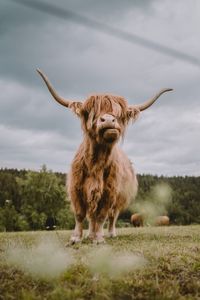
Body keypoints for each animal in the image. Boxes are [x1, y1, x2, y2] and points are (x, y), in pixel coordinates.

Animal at [37, 68, 172, 244]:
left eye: (119, 114)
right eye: (90, 112)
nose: (108, 119)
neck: (96, 162)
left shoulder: (109, 192)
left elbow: (101, 215)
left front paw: (99, 238)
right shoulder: (77, 189)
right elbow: (80, 215)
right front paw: (76, 237)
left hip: (119, 199)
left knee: (112, 216)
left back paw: (108, 233)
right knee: (92, 216)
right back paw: (90, 234)